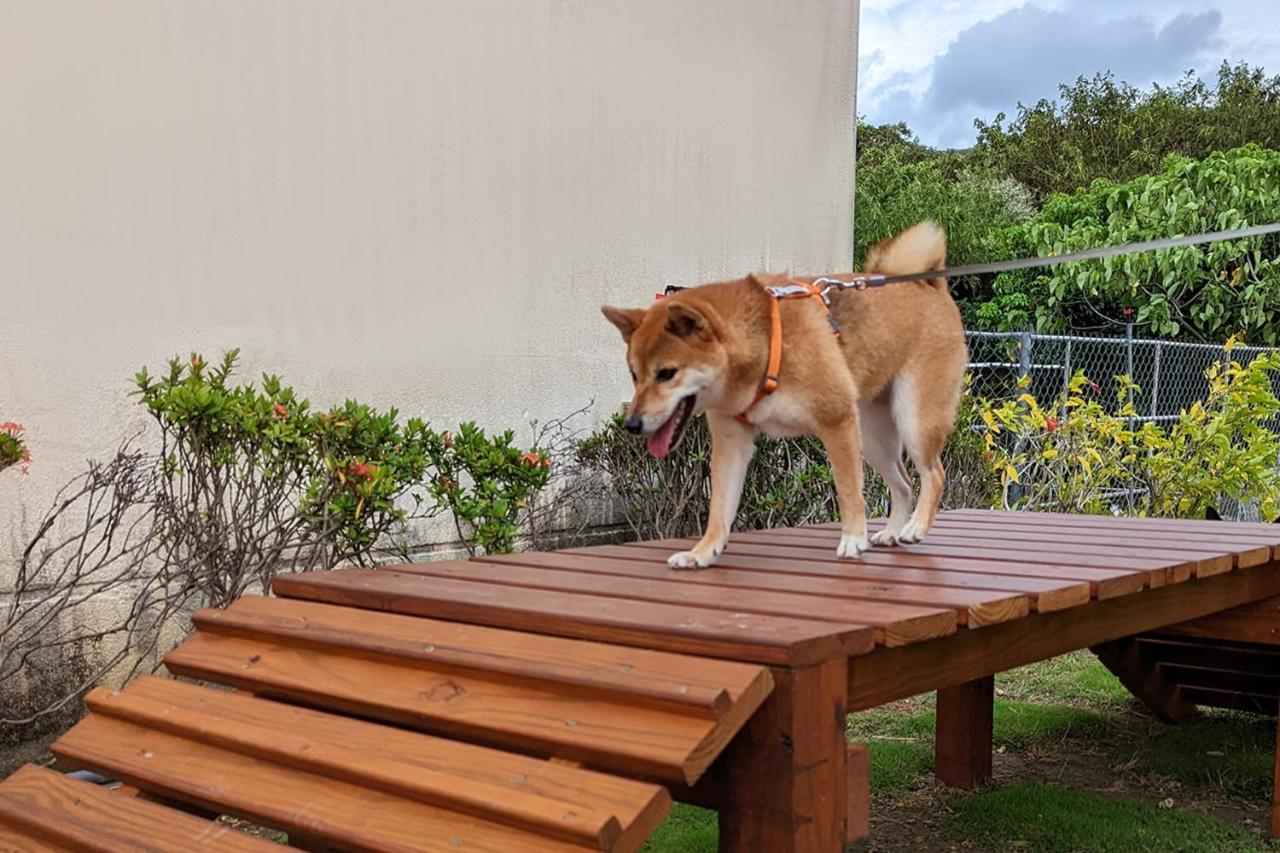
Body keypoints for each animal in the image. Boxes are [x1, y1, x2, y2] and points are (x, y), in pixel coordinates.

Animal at [604, 220, 962, 563]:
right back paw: (892, 531)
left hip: (913, 420)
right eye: (634, 375)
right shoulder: (732, 442)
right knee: (903, 484)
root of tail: (927, 284)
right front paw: (703, 553)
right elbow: (719, 507)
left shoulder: (837, 420)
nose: (631, 424)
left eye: (666, 374)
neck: (763, 352)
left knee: (934, 474)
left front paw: (852, 539)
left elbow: (848, 490)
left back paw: (915, 527)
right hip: (875, 437)